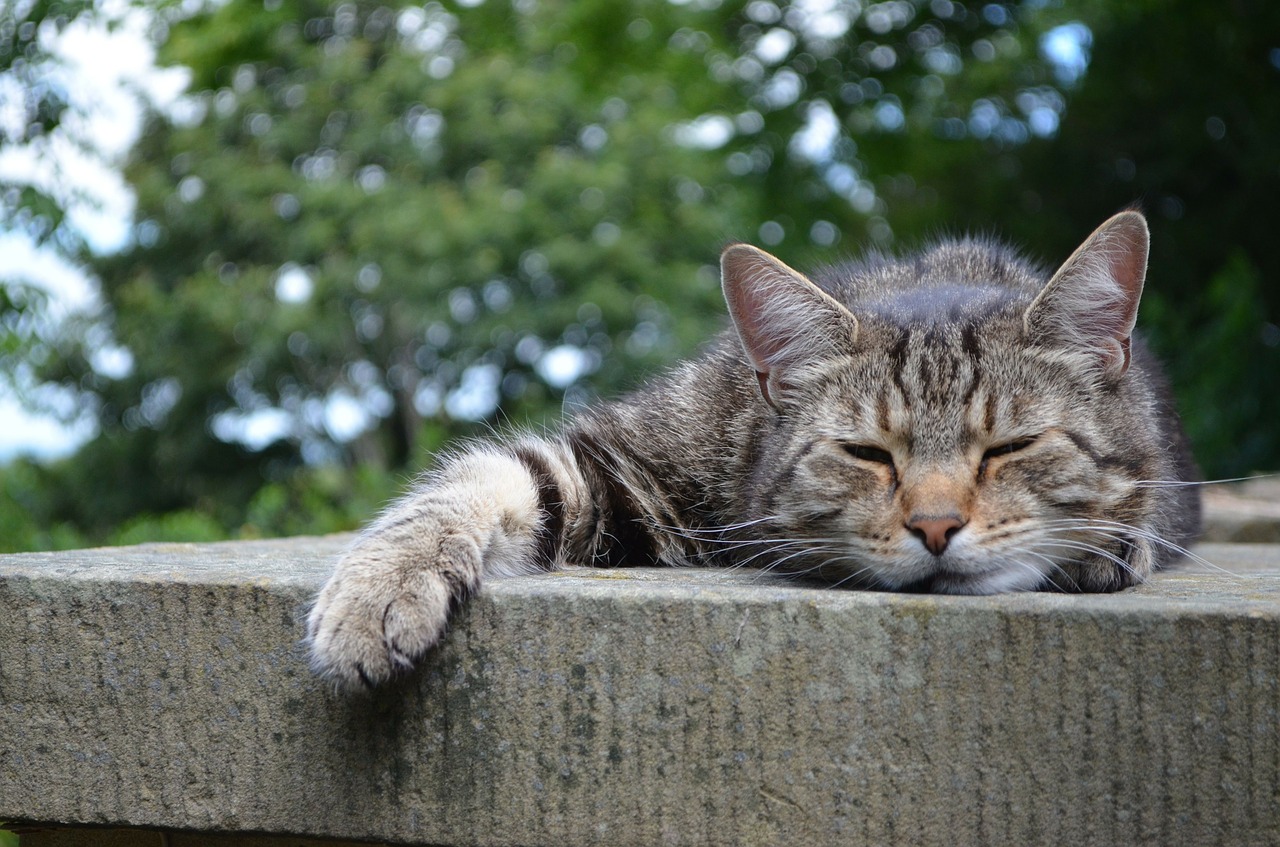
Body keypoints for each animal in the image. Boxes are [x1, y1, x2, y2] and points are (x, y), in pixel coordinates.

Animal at [307, 211, 1198, 690]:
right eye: (866, 453)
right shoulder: (619, 465)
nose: (937, 525)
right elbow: (486, 473)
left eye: (1010, 446)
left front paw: (1105, 543)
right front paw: (378, 585)